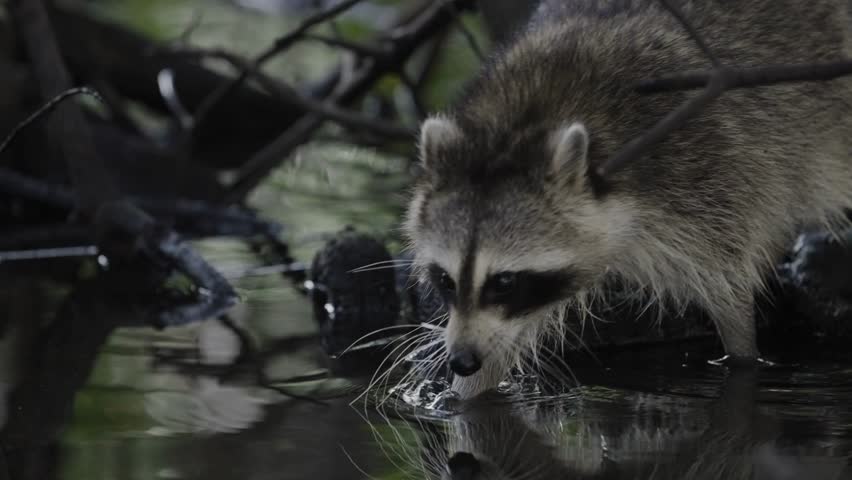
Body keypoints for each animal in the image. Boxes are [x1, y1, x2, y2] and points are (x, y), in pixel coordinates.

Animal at [403, 0, 852, 398]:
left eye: (504, 281)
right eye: (445, 279)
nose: (461, 360)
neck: (519, 126)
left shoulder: (710, 174)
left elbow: (732, 298)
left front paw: (742, 354)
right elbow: (498, 345)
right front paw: (462, 395)